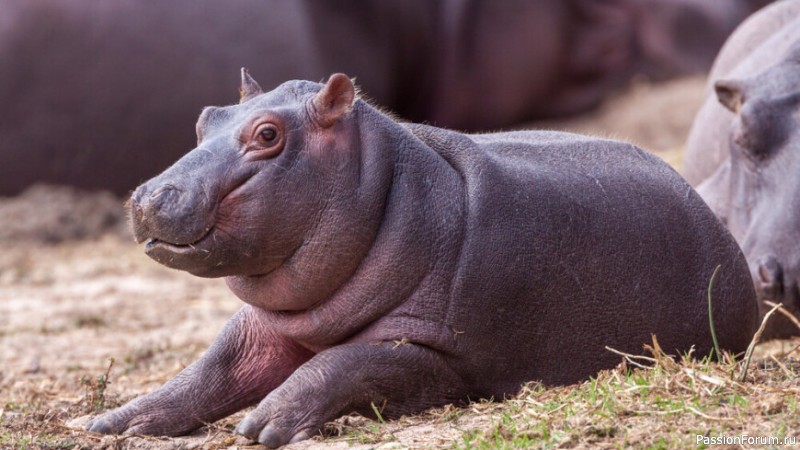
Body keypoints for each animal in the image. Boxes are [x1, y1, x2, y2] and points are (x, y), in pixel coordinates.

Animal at [84, 71, 760, 446]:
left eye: (269, 134)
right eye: (206, 118)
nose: (148, 196)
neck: (383, 184)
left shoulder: (443, 354)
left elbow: (346, 363)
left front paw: (264, 424)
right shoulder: (270, 326)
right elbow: (214, 367)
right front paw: (113, 422)